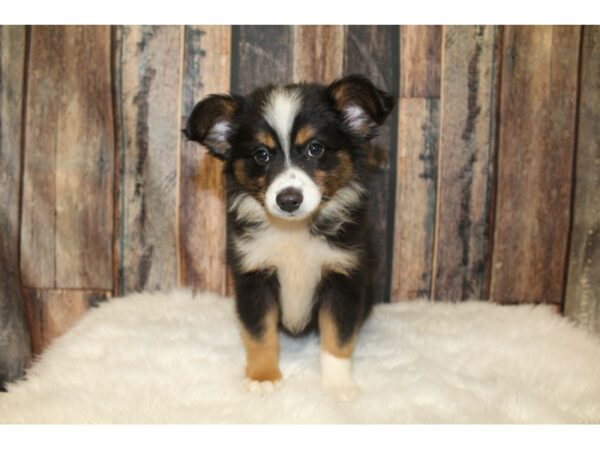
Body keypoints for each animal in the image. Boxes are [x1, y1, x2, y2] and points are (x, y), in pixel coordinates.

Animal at [185, 74, 396, 400]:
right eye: (261, 154)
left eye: (315, 148)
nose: (288, 200)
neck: (294, 231)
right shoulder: (253, 276)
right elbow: (260, 334)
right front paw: (262, 377)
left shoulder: (343, 276)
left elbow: (338, 337)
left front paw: (338, 385)